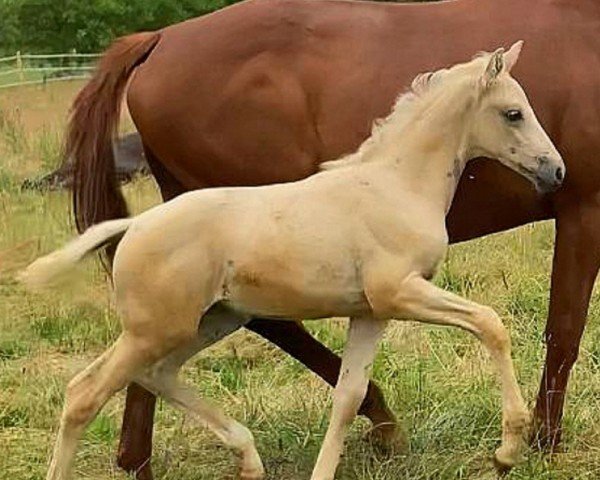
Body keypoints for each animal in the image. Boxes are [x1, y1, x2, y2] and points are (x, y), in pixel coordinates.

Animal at [19, 42, 564, 480]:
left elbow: (348, 396)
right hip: (155, 329)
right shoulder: (399, 292)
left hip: (211, 320)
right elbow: (490, 323)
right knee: (85, 393)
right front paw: (507, 450)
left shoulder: (371, 312)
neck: (396, 184)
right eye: (513, 113)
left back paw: (248, 457)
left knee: (157, 374)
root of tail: (135, 225)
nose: (555, 171)